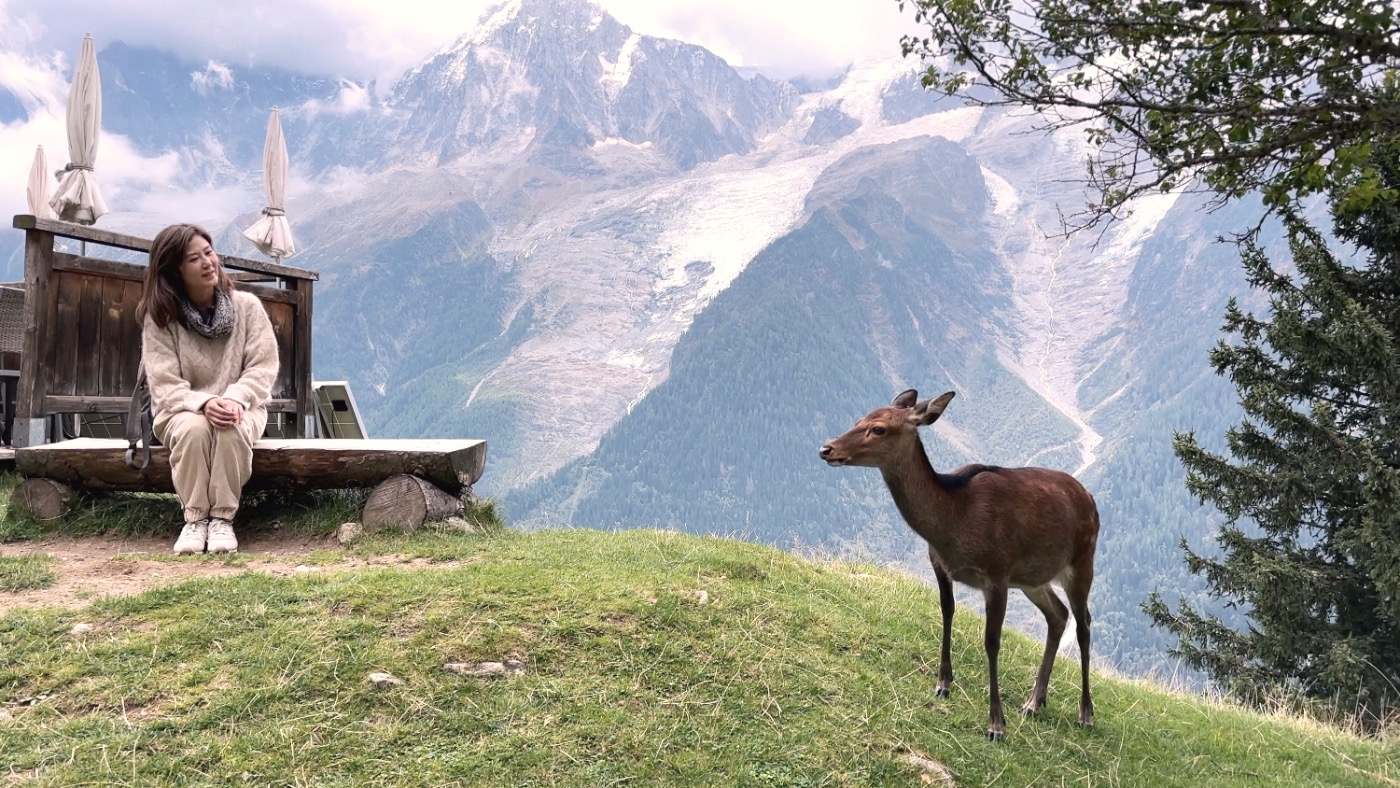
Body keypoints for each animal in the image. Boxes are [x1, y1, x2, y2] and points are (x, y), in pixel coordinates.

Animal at [820, 389, 1099, 741]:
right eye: (859, 419)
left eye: (879, 428)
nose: (826, 448)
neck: (955, 522)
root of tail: (1091, 499)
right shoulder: (939, 563)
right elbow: (947, 613)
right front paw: (943, 684)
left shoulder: (997, 572)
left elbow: (992, 641)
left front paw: (996, 724)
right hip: (1032, 578)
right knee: (1058, 615)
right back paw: (1034, 702)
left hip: (1083, 559)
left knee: (1084, 623)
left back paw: (1085, 713)